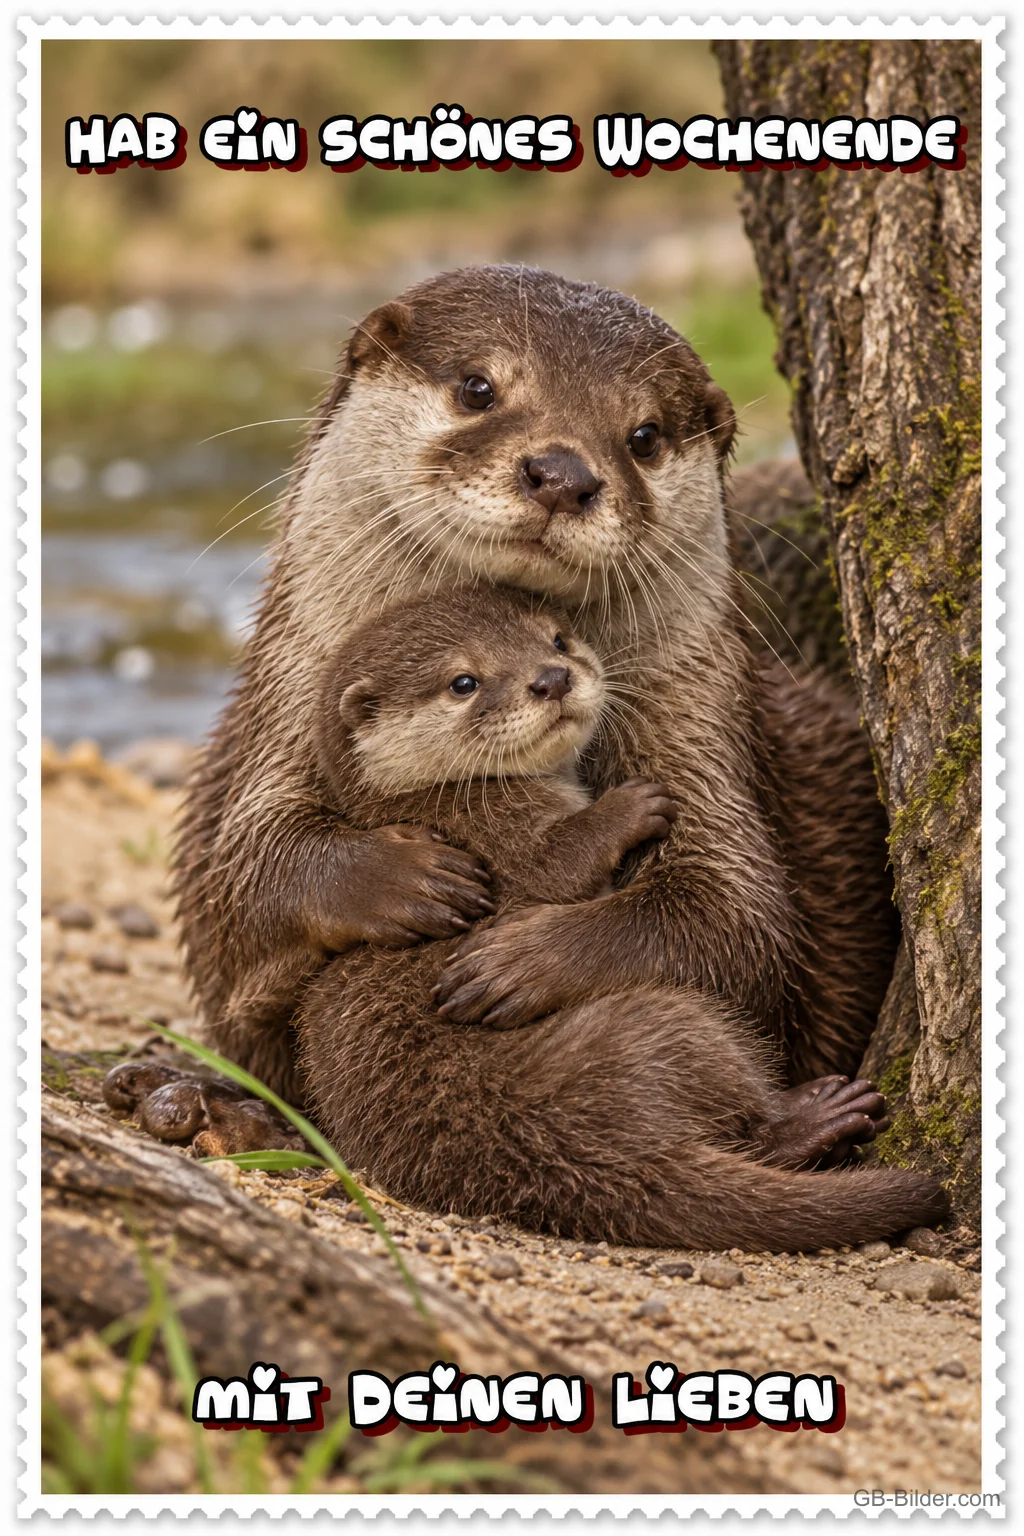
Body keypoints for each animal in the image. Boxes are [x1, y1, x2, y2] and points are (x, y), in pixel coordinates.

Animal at [174, 265, 898, 1104]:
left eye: (645, 436)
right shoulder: (281, 713)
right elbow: (249, 873)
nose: (562, 474)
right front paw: (406, 877)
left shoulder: (707, 745)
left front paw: (520, 960)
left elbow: (730, 919)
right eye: (478, 388)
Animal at [291, 584, 944, 1252]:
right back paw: (818, 1115)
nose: (552, 678)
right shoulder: (497, 840)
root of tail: (565, 1155)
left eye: (556, 638)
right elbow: (560, 862)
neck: (438, 801)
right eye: (463, 682)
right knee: (749, 1124)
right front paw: (633, 804)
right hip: (677, 1022)